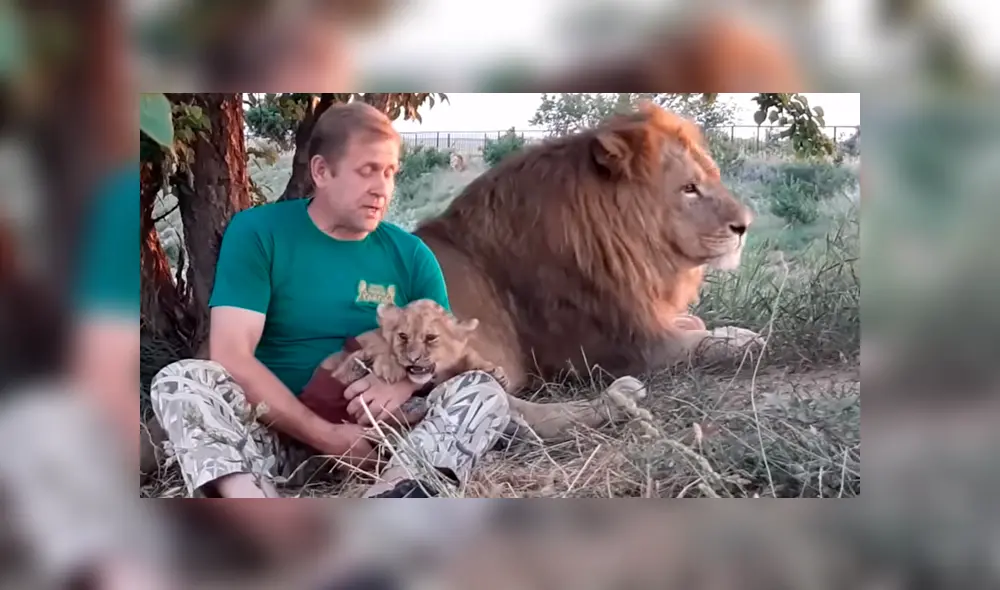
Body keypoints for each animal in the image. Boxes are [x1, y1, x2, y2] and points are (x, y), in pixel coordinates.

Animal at [410, 101, 763, 439]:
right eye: (689, 187)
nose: (745, 225)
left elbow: (695, 322)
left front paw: (715, 327)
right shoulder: (619, 349)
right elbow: (698, 344)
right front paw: (742, 341)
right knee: (511, 412)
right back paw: (617, 400)